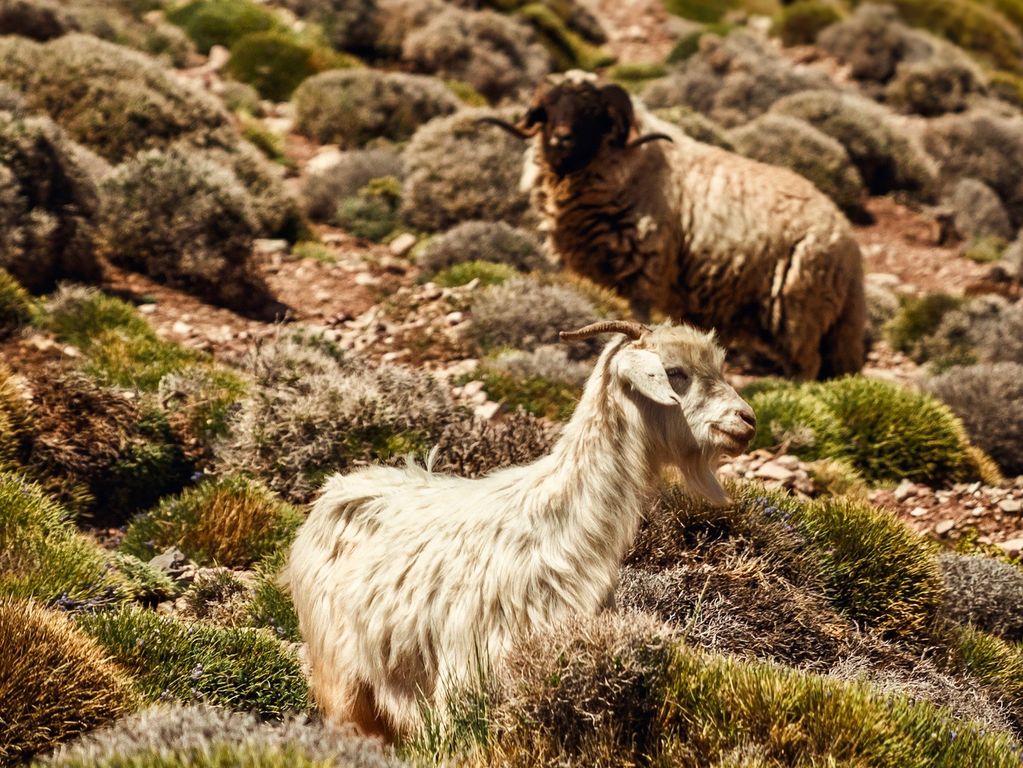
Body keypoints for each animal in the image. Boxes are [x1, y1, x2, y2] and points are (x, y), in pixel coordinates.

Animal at [284, 319, 757, 740]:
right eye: (675, 372)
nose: (747, 419)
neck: (559, 525)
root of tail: (333, 490)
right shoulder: (470, 673)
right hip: (341, 673)